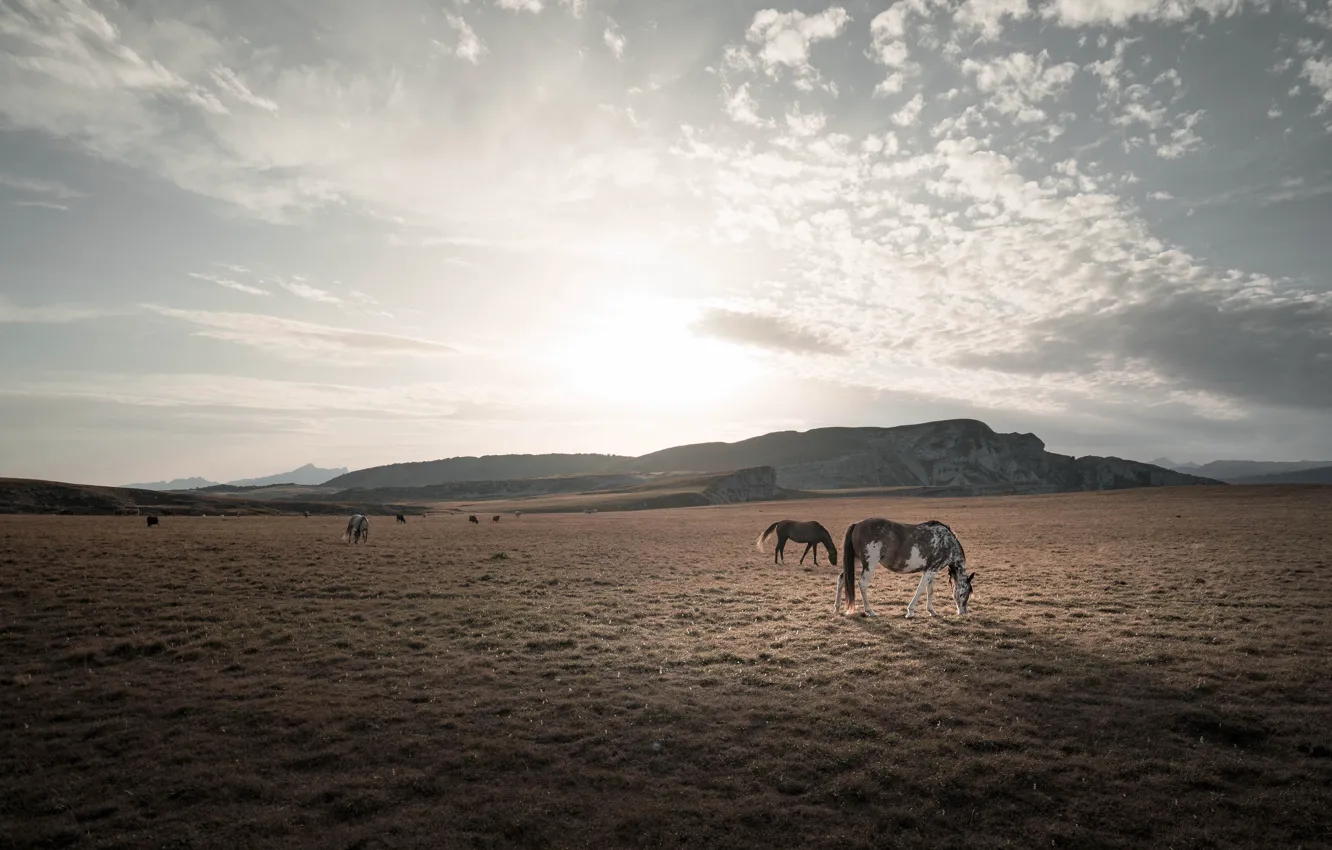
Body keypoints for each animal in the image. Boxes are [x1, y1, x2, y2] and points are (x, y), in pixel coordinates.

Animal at [836, 518, 975, 618]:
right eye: (967, 592)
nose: (964, 612)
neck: (947, 542)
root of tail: (857, 525)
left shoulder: (932, 570)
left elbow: (930, 590)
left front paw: (931, 611)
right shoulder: (930, 571)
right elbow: (920, 589)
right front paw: (910, 611)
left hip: (855, 561)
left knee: (842, 579)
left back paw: (836, 608)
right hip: (870, 564)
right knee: (862, 584)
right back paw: (870, 611)